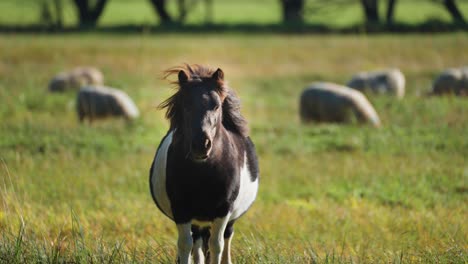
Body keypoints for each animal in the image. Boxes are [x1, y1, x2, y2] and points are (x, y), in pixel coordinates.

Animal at [150, 64, 260, 264]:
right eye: (186, 105)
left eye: (216, 106)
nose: (201, 145)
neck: (204, 173)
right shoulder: (181, 210)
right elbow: (185, 245)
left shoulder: (223, 210)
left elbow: (217, 245)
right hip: (197, 222)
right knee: (198, 243)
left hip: (228, 218)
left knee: (225, 238)